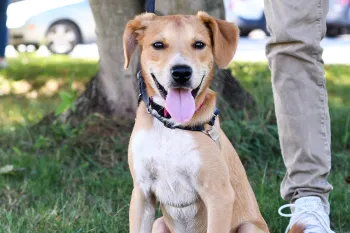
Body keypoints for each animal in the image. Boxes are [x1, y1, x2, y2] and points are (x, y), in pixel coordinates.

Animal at [123, 12, 270, 233]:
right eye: (158, 45)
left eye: (199, 44)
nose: (181, 72)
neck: (170, 126)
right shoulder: (142, 194)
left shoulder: (219, 195)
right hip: (159, 223)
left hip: (249, 227)